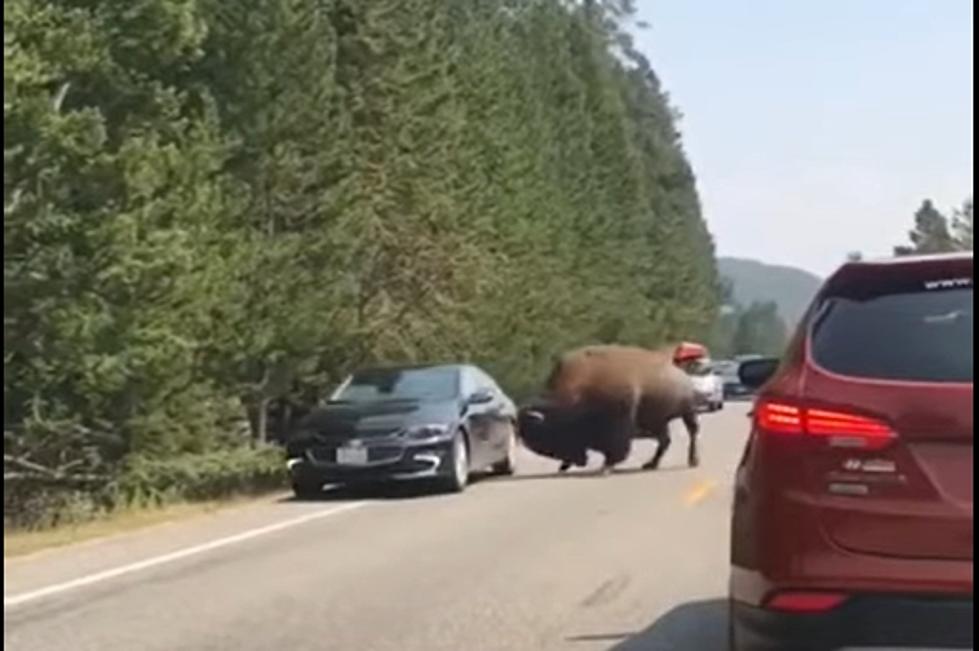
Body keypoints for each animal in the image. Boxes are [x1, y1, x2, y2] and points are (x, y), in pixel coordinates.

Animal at [516, 344, 700, 476]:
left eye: (550, 434)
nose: (577, 461)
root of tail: (677, 368)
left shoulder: (618, 420)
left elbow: (615, 447)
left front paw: (606, 467)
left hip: (687, 411)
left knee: (691, 432)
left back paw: (693, 460)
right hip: (656, 420)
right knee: (665, 440)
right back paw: (650, 464)